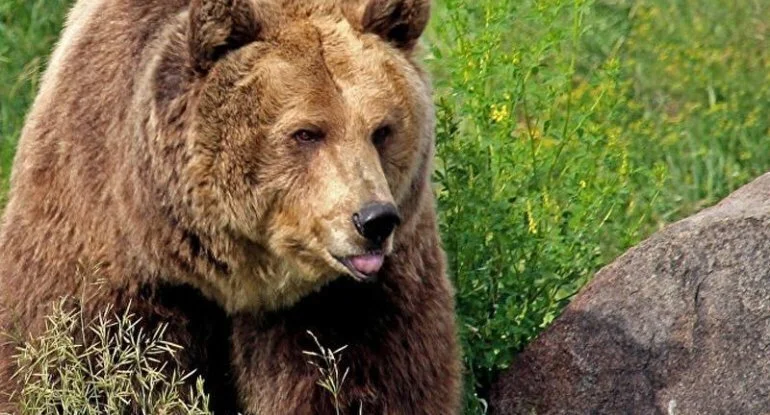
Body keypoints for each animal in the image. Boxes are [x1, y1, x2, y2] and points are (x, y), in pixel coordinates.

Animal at [0, 0, 460, 412]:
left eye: (382, 130)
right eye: (307, 132)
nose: (374, 220)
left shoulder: (351, 300)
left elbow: (360, 381)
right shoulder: (110, 256)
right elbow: (93, 368)